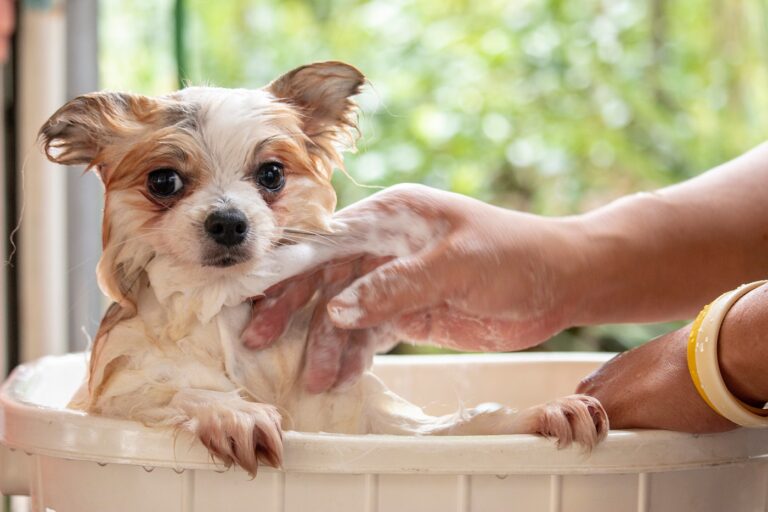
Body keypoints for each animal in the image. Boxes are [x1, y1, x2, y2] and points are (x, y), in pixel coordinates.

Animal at [40, 61, 608, 476]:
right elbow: (175, 391)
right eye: (163, 181)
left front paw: (538, 414)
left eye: (271, 174)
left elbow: (452, 428)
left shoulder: (354, 418)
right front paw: (233, 411)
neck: (219, 306)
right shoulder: (111, 401)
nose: (228, 221)